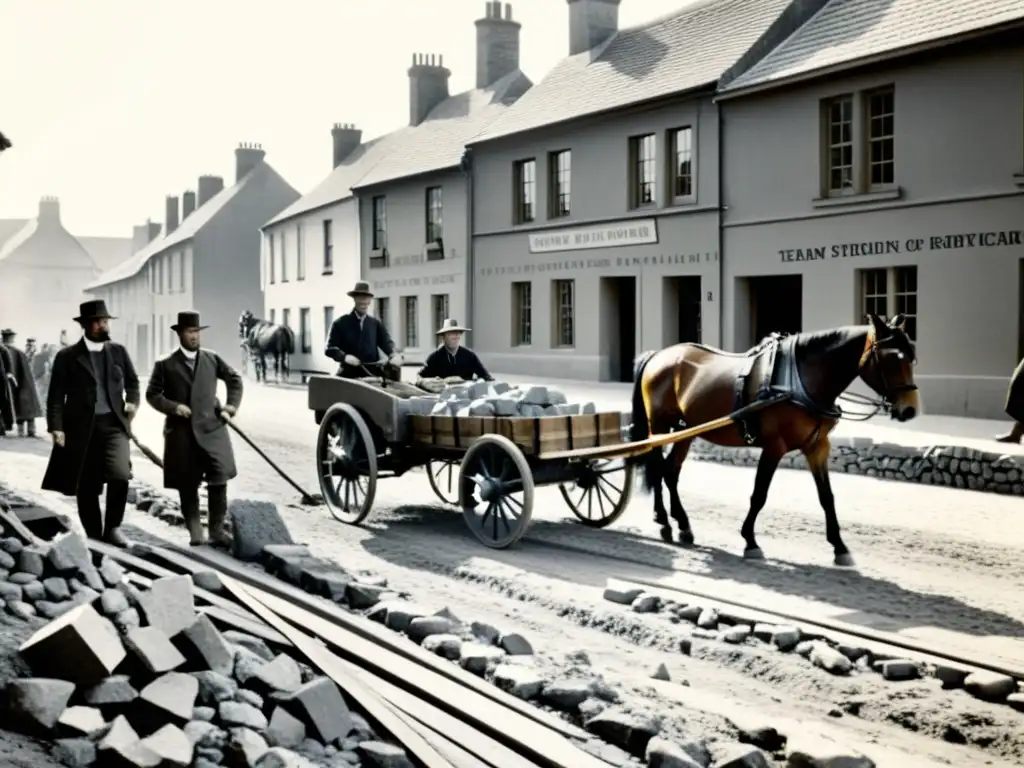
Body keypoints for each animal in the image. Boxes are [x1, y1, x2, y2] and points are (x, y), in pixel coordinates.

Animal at [626, 309, 925, 569]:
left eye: (912, 356)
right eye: (892, 358)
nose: (909, 410)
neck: (801, 379)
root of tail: (659, 355)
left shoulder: (817, 447)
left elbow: (826, 497)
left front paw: (839, 546)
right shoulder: (774, 447)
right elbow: (759, 494)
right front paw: (750, 540)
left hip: (687, 429)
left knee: (670, 472)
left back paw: (682, 524)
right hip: (659, 426)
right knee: (657, 467)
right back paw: (663, 520)